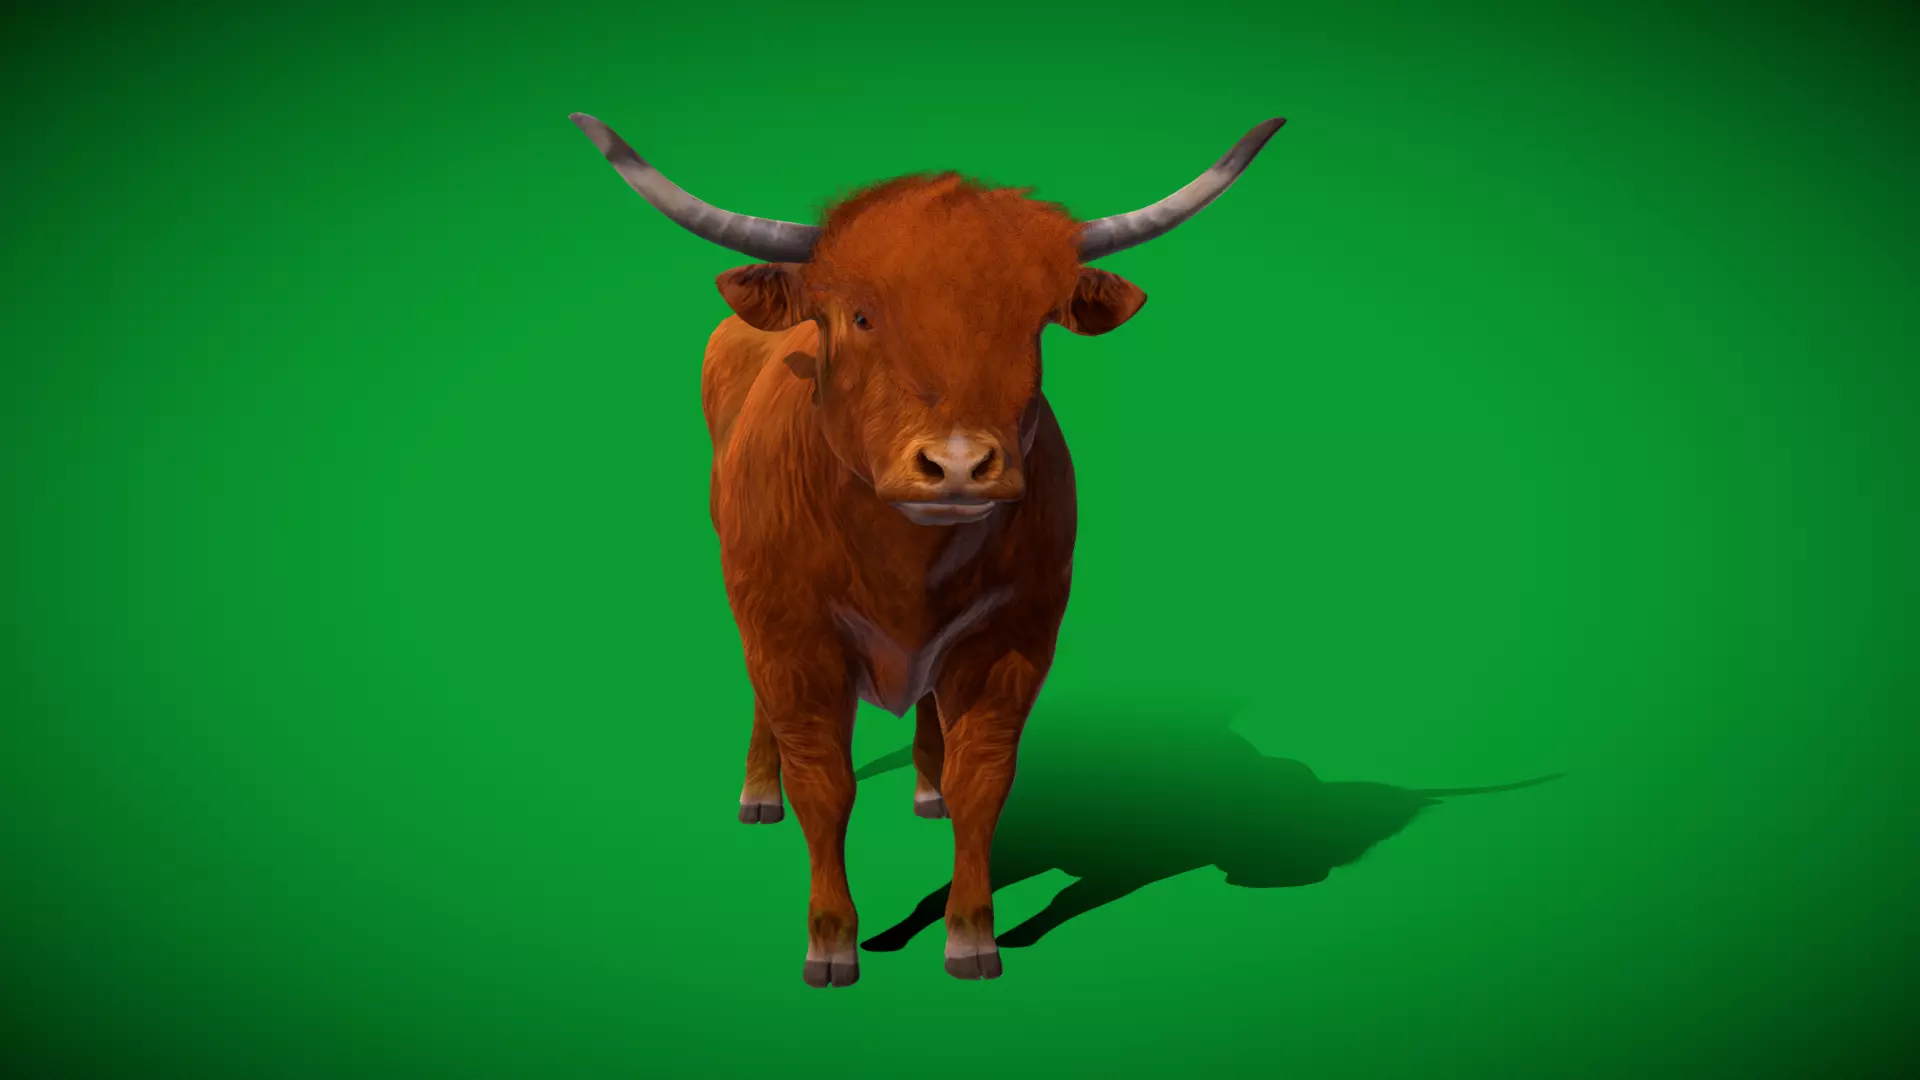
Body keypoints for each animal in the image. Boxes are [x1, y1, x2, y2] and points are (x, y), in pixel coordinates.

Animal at [569, 111, 1285, 987]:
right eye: (858, 316)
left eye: (1032, 322)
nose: (958, 464)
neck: (903, 564)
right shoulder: (792, 634)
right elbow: (823, 783)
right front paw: (831, 940)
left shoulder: (1016, 636)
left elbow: (984, 779)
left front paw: (971, 934)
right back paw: (759, 792)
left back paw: (926, 787)